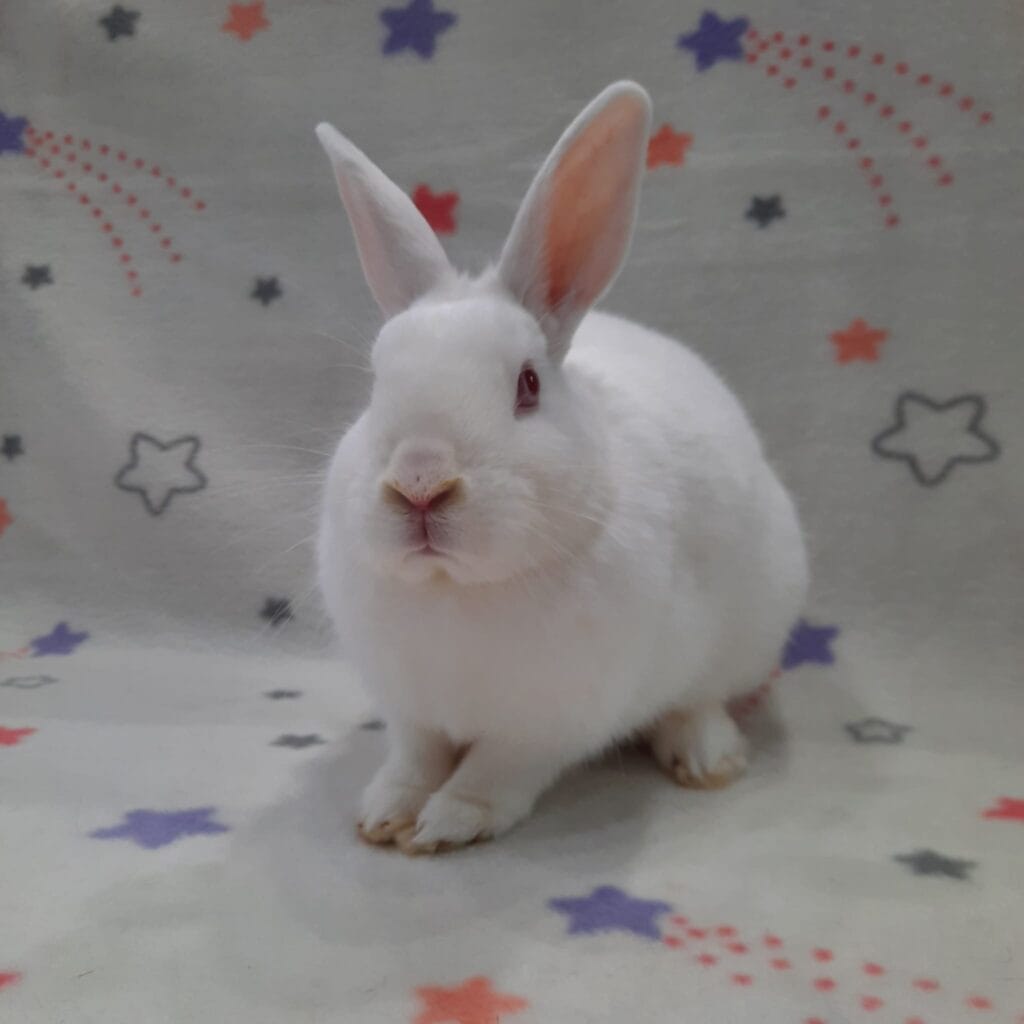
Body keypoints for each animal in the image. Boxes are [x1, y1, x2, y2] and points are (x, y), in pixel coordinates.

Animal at [314, 81, 808, 855]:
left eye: (527, 386)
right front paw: (384, 814)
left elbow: (496, 771)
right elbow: (414, 758)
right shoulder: (410, 709)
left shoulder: (551, 722)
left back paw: (707, 758)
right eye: (375, 384)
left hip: (751, 628)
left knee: (700, 700)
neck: (456, 589)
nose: (420, 483)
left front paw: (446, 824)